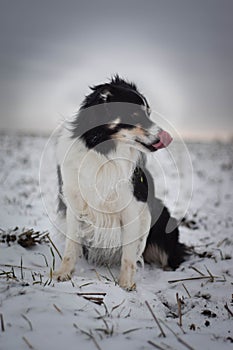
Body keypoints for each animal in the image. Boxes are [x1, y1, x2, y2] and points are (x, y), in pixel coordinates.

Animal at [53, 76, 187, 290]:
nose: (168, 137)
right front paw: (63, 273)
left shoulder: (133, 208)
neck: (103, 150)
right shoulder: (74, 203)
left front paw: (125, 284)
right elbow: (71, 245)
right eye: (134, 113)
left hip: (166, 219)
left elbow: (128, 254)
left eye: (148, 112)